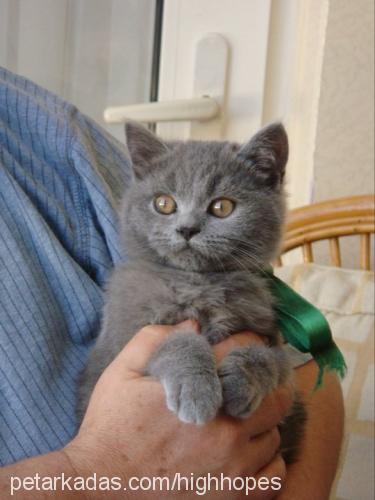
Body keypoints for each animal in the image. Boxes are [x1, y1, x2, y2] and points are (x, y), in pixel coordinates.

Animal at [78, 121, 306, 460]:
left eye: (222, 207)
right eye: (164, 203)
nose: (186, 229)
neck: (198, 284)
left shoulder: (269, 333)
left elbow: (273, 360)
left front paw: (243, 380)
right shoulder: (120, 339)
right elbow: (176, 339)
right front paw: (196, 390)